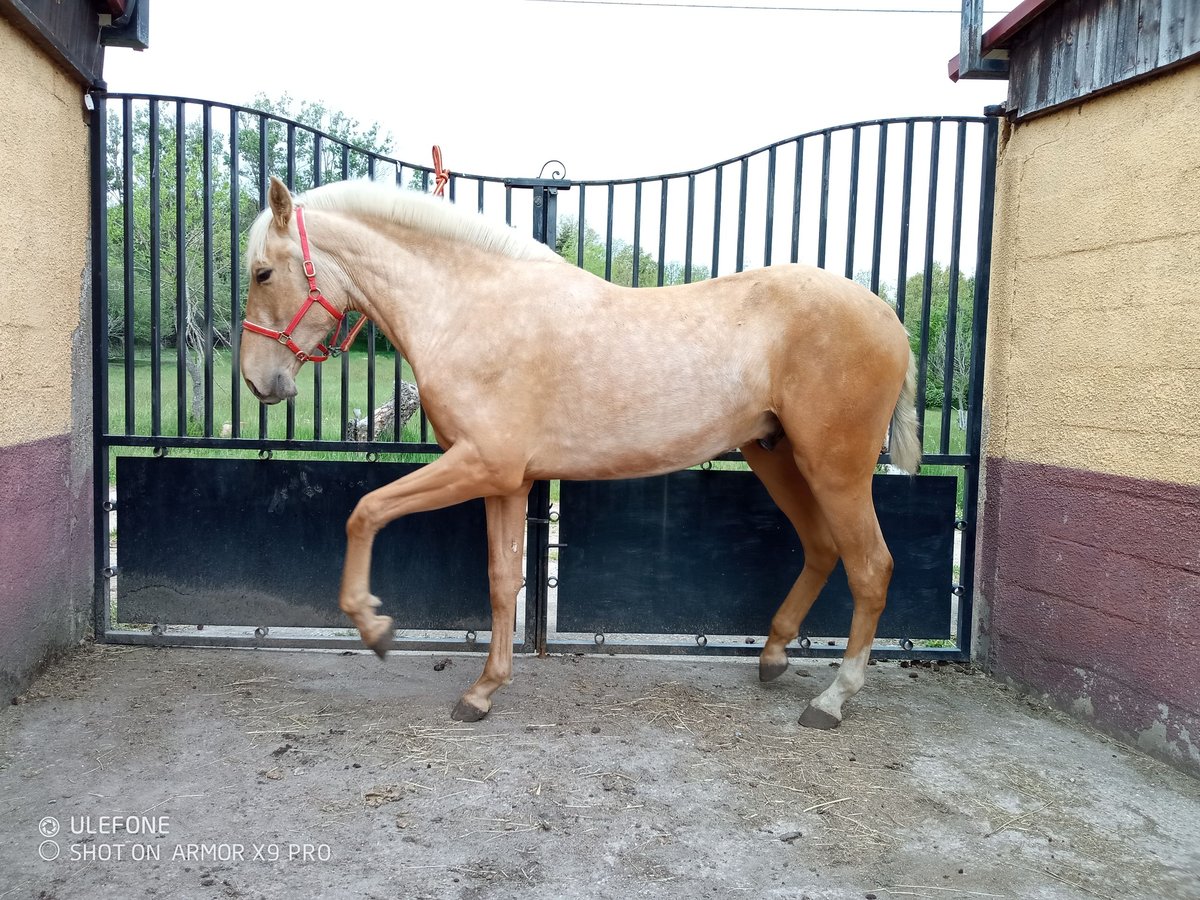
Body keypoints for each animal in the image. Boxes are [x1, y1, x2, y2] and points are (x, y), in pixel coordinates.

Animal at [241, 176, 916, 734]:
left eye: (263, 274)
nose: (256, 381)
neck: (468, 309)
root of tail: (889, 318)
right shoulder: (506, 483)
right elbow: (501, 581)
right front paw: (483, 691)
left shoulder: (481, 465)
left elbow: (365, 512)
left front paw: (376, 628)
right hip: (776, 456)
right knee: (823, 549)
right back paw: (773, 657)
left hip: (836, 470)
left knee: (871, 567)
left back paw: (832, 699)